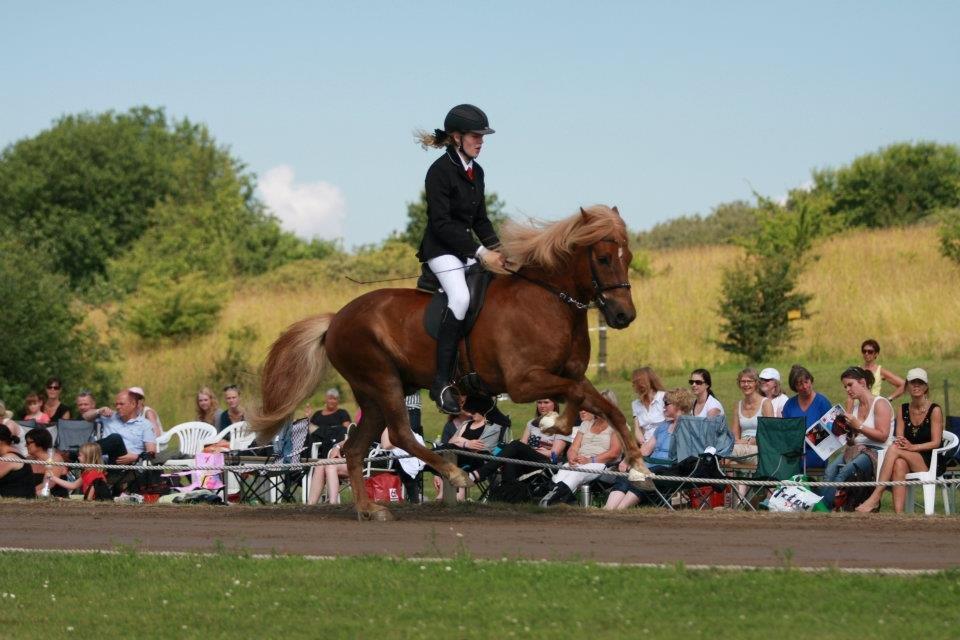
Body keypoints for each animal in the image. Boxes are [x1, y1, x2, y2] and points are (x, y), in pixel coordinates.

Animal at [251, 205, 648, 520]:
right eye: (603, 259)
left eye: (627, 257)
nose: (624, 316)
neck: (549, 301)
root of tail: (336, 319)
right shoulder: (523, 382)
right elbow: (574, 396)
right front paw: (556, 424)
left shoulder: (568, 376)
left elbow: (604, 407)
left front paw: (639, 467)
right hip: (382, 381)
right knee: (400, 434)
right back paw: (451, 475)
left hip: (373, 396)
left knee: (355, 448)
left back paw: (370, 509)